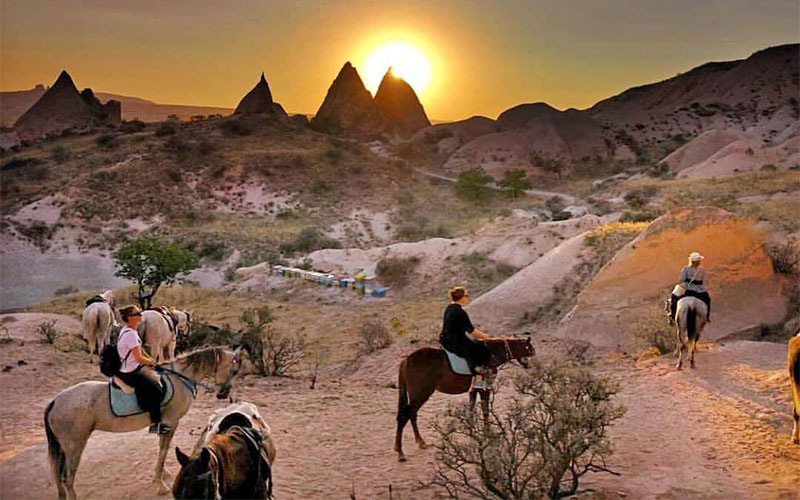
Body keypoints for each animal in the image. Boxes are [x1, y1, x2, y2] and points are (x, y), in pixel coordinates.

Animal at [43, 346, 241, 498]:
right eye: (233, 371)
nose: (224, 394)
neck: (180, 378)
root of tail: (55, 401)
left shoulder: (165, 425)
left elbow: (162, 449)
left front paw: (162, 475)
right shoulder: (171, 423)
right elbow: (163, 451)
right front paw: (159, 484)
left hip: (64, 448)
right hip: (74, 446)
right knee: (67, 478)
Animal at [392, 336, 536, 460]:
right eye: (529, 348)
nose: (530, 363)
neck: (490, 354)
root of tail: (406, 361)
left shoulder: (474, 390)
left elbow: (472, 410)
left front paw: (473, 432)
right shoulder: (484, 389)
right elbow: (485, 410)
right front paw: (488, 433)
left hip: (418, 396)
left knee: (412, 414)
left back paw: (420, 442)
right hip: (420, 394)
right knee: (404, 416)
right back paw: (400, 452)